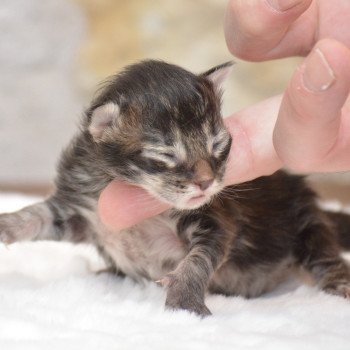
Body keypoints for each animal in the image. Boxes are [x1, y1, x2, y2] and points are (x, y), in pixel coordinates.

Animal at [0, 60, 350, 318]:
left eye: (217, 145)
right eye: (167, 155)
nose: (206, 181)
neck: (122, 181)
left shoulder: (216, 220)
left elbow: (197, 260)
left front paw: (185, 302)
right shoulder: (82, 213)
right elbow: (36, 214)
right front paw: (7, 223)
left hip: (307, 229)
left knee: (327, 260)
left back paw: (338, 288)